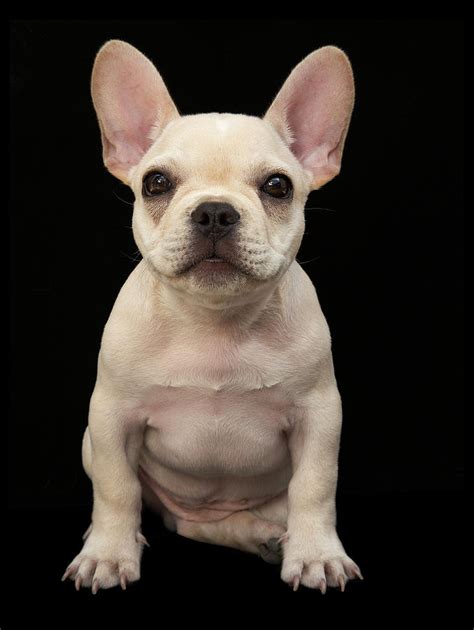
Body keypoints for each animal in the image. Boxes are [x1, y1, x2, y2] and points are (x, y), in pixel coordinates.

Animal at [61, 40, 362, 596]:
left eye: (278, 186)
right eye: (156, 183)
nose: (216, 211)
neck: (214, 325)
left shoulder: (319, 417)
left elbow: (315, 487)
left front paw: (316, 555)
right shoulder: (111, 418)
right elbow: (116, 489)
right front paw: (108, 553)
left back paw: (266, 536)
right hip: (92, 444)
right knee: (174, 516)